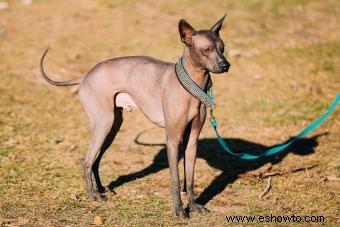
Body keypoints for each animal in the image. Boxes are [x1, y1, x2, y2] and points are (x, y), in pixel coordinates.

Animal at [39, 15, 231, 217]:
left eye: (222, 47)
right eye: (206, 49)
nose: (226, 65)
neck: (192, 87)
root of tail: (85, 76)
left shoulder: (192, 139)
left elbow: (190, 177)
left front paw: (193, 206)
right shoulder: (172, 140)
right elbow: (176, 180)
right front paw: (179, 210)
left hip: (113, 126)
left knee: (96, 160)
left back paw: (101, 189)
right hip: (103, 123)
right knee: (87, 160)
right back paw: (93, 195)